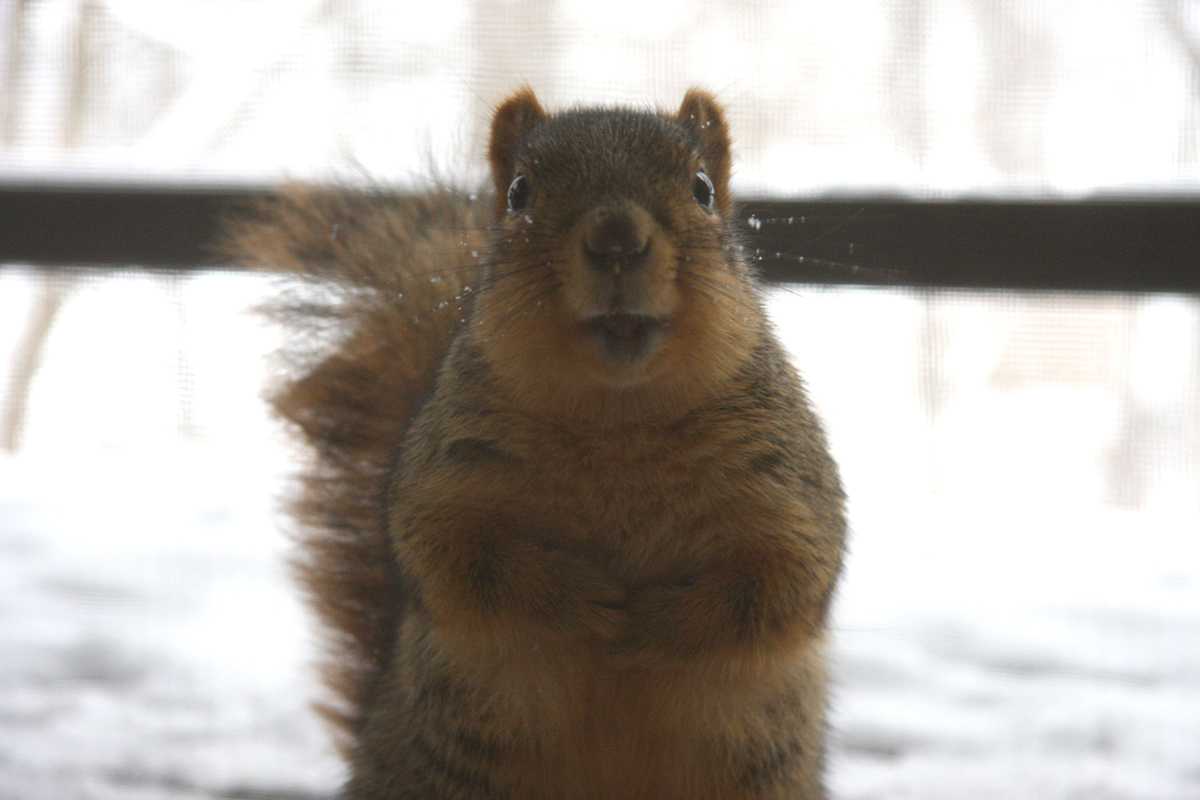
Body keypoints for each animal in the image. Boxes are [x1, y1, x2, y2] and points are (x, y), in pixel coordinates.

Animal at [227, 88, 846, 800]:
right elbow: (460, 563)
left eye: (702, 189)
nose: (614, 238)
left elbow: (785, 582)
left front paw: (659, 620)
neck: (619, 417)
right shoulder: (444, 474)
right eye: (521, 192)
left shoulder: (788, 486)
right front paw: (583, 600)